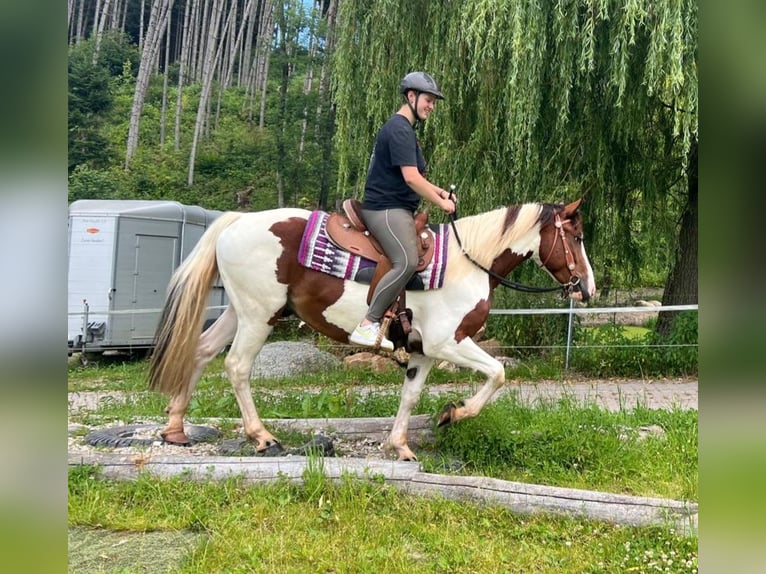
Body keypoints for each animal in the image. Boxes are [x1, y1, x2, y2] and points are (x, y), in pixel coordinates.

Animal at [147, 200, 596, 462]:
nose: (587, 288)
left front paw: (401, 445)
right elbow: (498, 373)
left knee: (202, 351)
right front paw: (453, 413)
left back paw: (176, 429)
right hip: (259, 317)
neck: (468, 263)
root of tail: (236, 223)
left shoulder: (423, 351)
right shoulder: (448, 342)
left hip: (240, 313)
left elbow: (410, 396)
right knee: (238, 366)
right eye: (576, 236)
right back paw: (262, 437)